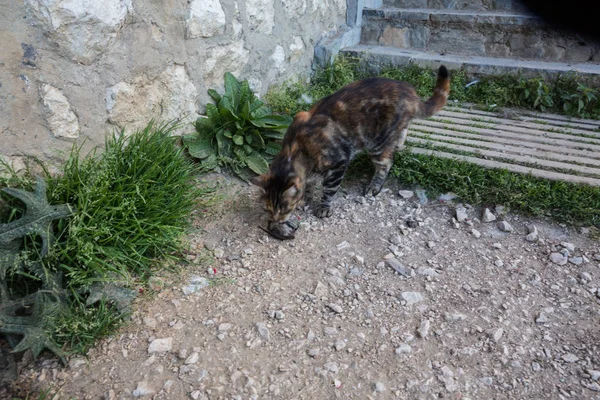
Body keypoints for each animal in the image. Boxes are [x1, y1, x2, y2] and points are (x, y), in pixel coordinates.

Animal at [250, 64, 450, 223]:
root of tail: (410, 93)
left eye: (283, 208)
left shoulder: (338, 162)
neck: (296, 148)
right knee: (403, 130)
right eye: (267, 208)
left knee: (386, 164)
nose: (275, 220)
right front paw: (306, 196)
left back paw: (374, 186)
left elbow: (329, 189)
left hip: (376, 143)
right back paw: (399, 141)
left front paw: (323, 206)